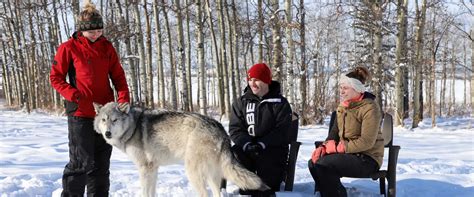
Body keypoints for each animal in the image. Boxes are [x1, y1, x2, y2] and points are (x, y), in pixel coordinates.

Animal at [94, 102, 268, 196]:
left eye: (115, 120)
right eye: (103, 120)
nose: (107, 133)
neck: (133, 127)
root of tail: (220, 127)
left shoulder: (145, 169)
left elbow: (145, 192)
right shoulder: (153, 169)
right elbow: (151, 192)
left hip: (193, 171)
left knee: (204, 194)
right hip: (212, 174)